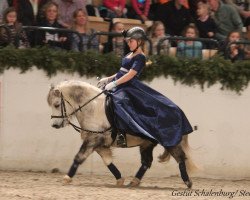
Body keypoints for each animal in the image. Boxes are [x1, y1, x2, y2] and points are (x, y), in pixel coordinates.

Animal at [47, 79, 195, 188]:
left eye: (56, 104)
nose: (54, 125)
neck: (93, 108)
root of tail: (178, 110)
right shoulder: (99, 143)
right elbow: (108, 161)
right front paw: (120, 179)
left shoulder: (93, 140)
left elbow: (78, 157)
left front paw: (67, 178)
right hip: (147, 143)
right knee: (146, 162)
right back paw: (134, 181)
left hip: (169, 142)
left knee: (180, 157)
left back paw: (188, 182)